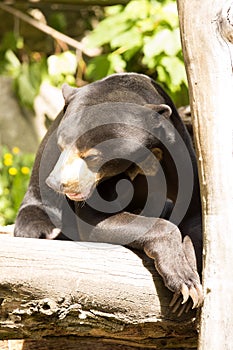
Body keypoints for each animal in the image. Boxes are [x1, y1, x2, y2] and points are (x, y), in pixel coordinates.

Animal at [14, 73, 202, 312]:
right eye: (60, 145)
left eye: (92, 156)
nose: (56, 183)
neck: (144, 157)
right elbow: (94, 221)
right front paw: (184, 284)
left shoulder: (179, 155)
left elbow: (195, 218)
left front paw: (187, 290)